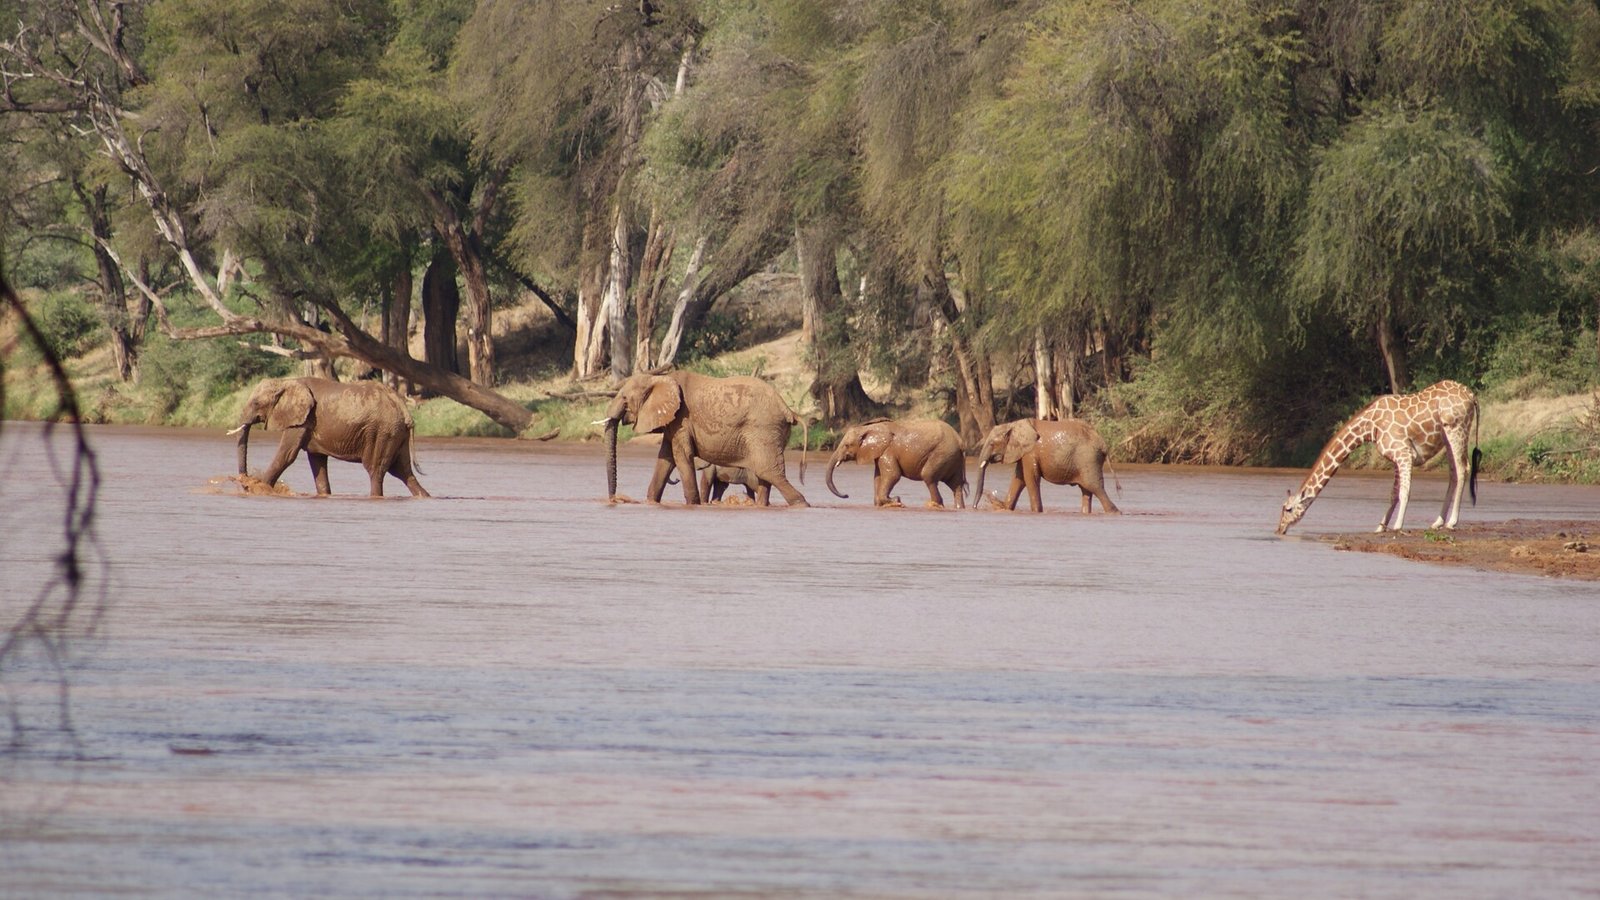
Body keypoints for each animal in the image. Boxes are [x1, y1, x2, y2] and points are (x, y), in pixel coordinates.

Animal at [229, 376, 429, 498]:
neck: (286, 382)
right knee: (404, 472)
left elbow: (287, 454)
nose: (244, 480)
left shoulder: (301, 420)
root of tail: (403, 408)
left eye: (256, 403)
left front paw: (258, 488)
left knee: (376, 470)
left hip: (382, 433)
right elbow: (317, 461)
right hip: (396, 433)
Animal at [601, 370, 808, 507]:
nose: (614, 499)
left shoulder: (682, 419)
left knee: (769, 472)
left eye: (625, 399)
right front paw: (652, 502)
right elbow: (665, 459)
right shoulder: (673, 423)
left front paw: (694, 505)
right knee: (765, 475)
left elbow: (682, 456)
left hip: (764, 430)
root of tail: (788, 410)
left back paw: (801, 504)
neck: (660, 377)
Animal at [825, 418, 968, 508]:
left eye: (846, 445)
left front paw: (896, 500)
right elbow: (877, 477)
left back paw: (934, 505)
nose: (847, 495)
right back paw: (958, 507)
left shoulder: (888, 451)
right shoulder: (881, 453)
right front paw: (882, 503)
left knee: (928, 476)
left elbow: (893, 475)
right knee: (956, 484)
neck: (869, 427)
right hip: (952, 458)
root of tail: (960, 441)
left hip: (942, 454)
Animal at [972, 418, 1119, 514]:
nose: (974, 508)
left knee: (1096, 488)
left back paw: (1115, 512)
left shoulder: (1030, 453)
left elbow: (1030, 479)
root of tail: (1103, 443)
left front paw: (1037, 511)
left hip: (1088, 459)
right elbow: (1019, 479)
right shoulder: (1024, 454)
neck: (1013, 424)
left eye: (992, 444)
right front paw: (1005, 507)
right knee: (1087, 491)